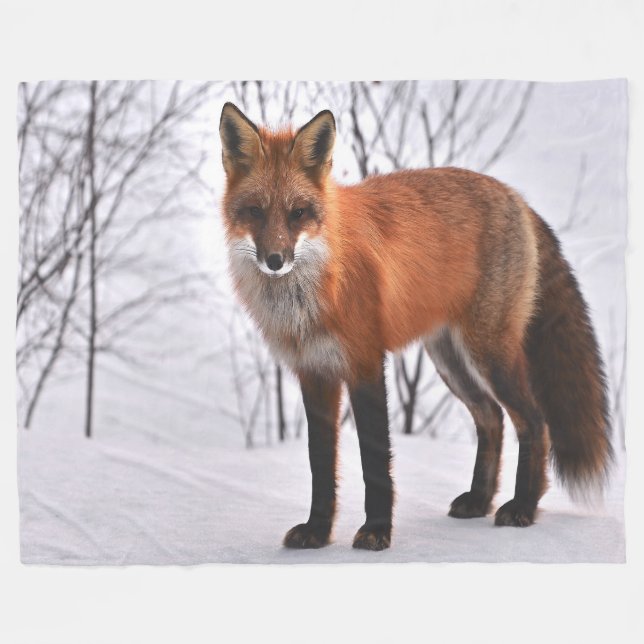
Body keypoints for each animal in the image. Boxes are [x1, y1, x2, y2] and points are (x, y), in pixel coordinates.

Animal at [218, 101, 612, 551]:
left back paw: (523, 507)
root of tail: (515, 196)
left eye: (297, 213)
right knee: (491, 418)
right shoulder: (314, 372)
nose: (275, 260)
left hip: (489, 352)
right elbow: (321, 464)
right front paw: (317, 531)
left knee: (534, 420)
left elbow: (375, 459)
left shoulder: (365, 362)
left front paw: (376, 531)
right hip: (450, 360)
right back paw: (480, 500)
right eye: (255, 211)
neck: (312, 292)